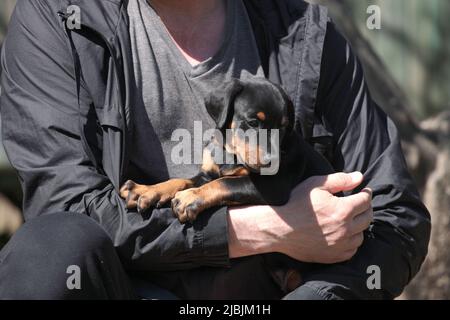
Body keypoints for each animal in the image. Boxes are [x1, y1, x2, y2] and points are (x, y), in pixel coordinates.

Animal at [119, 77, 334, 292]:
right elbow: (181, 181)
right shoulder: (207, 173)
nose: (273, 162)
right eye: (253, 122)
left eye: (283, 128)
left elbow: (225, 183)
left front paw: (190, 198)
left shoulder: (273, 187)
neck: (231, 154)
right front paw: (145, 190)